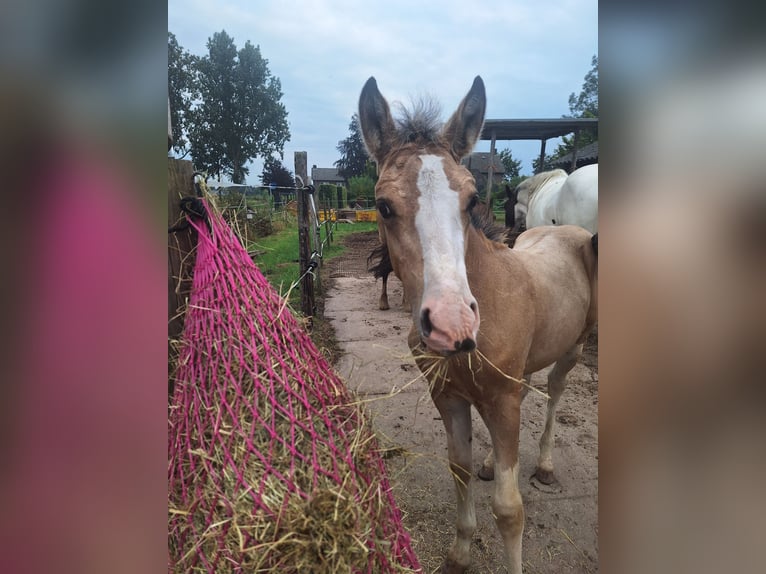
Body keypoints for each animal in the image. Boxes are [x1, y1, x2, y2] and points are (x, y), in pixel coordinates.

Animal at [360, 77, 600, 574]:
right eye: (383, 206)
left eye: (472, 199)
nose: (451, 323)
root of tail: (568, 230)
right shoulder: (449, 397)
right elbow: (459, 468)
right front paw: (459, 553)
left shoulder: (501, 400)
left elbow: (509, 509)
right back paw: (493, 461)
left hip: (572, 348)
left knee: (554, 394)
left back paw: (545, 465)